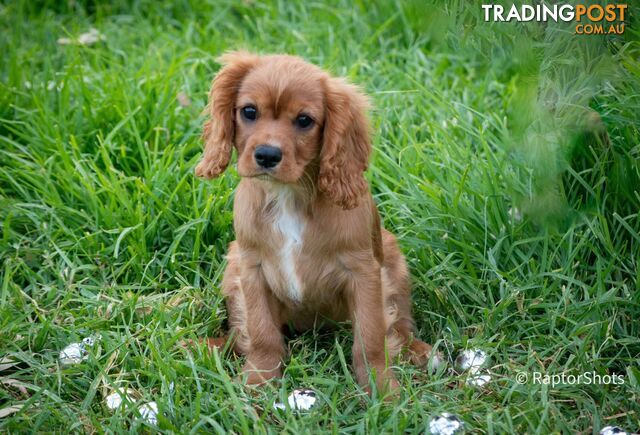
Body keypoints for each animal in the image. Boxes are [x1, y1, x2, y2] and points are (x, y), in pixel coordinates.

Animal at [195, 52, 438, 396]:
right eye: (249, 111)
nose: (267, 155)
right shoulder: (251, 267)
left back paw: (418, 350)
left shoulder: (363, 271)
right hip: (232, 264)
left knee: (401, 320)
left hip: (393, 255)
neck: (289, 194)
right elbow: (261, 332)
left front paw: (381, 389)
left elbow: (371, 337)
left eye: (304, 120)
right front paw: (258, 381)